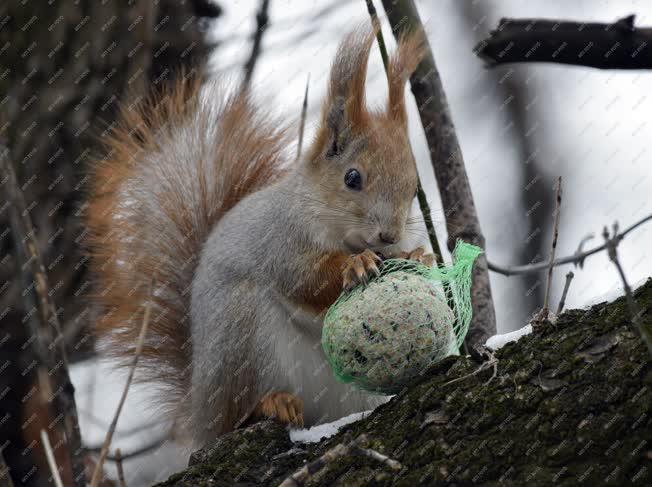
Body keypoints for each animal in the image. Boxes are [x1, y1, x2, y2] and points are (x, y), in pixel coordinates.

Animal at [86, 24, 432, 448]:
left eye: (413, 188)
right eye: (352, 178)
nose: (388, 235)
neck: (336, 229)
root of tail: (201, 414)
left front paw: (419, 256)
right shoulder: (279, 240)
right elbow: (304, 280)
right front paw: (355, 265)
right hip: (241, 329)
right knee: (238, 414)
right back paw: (270, 404)